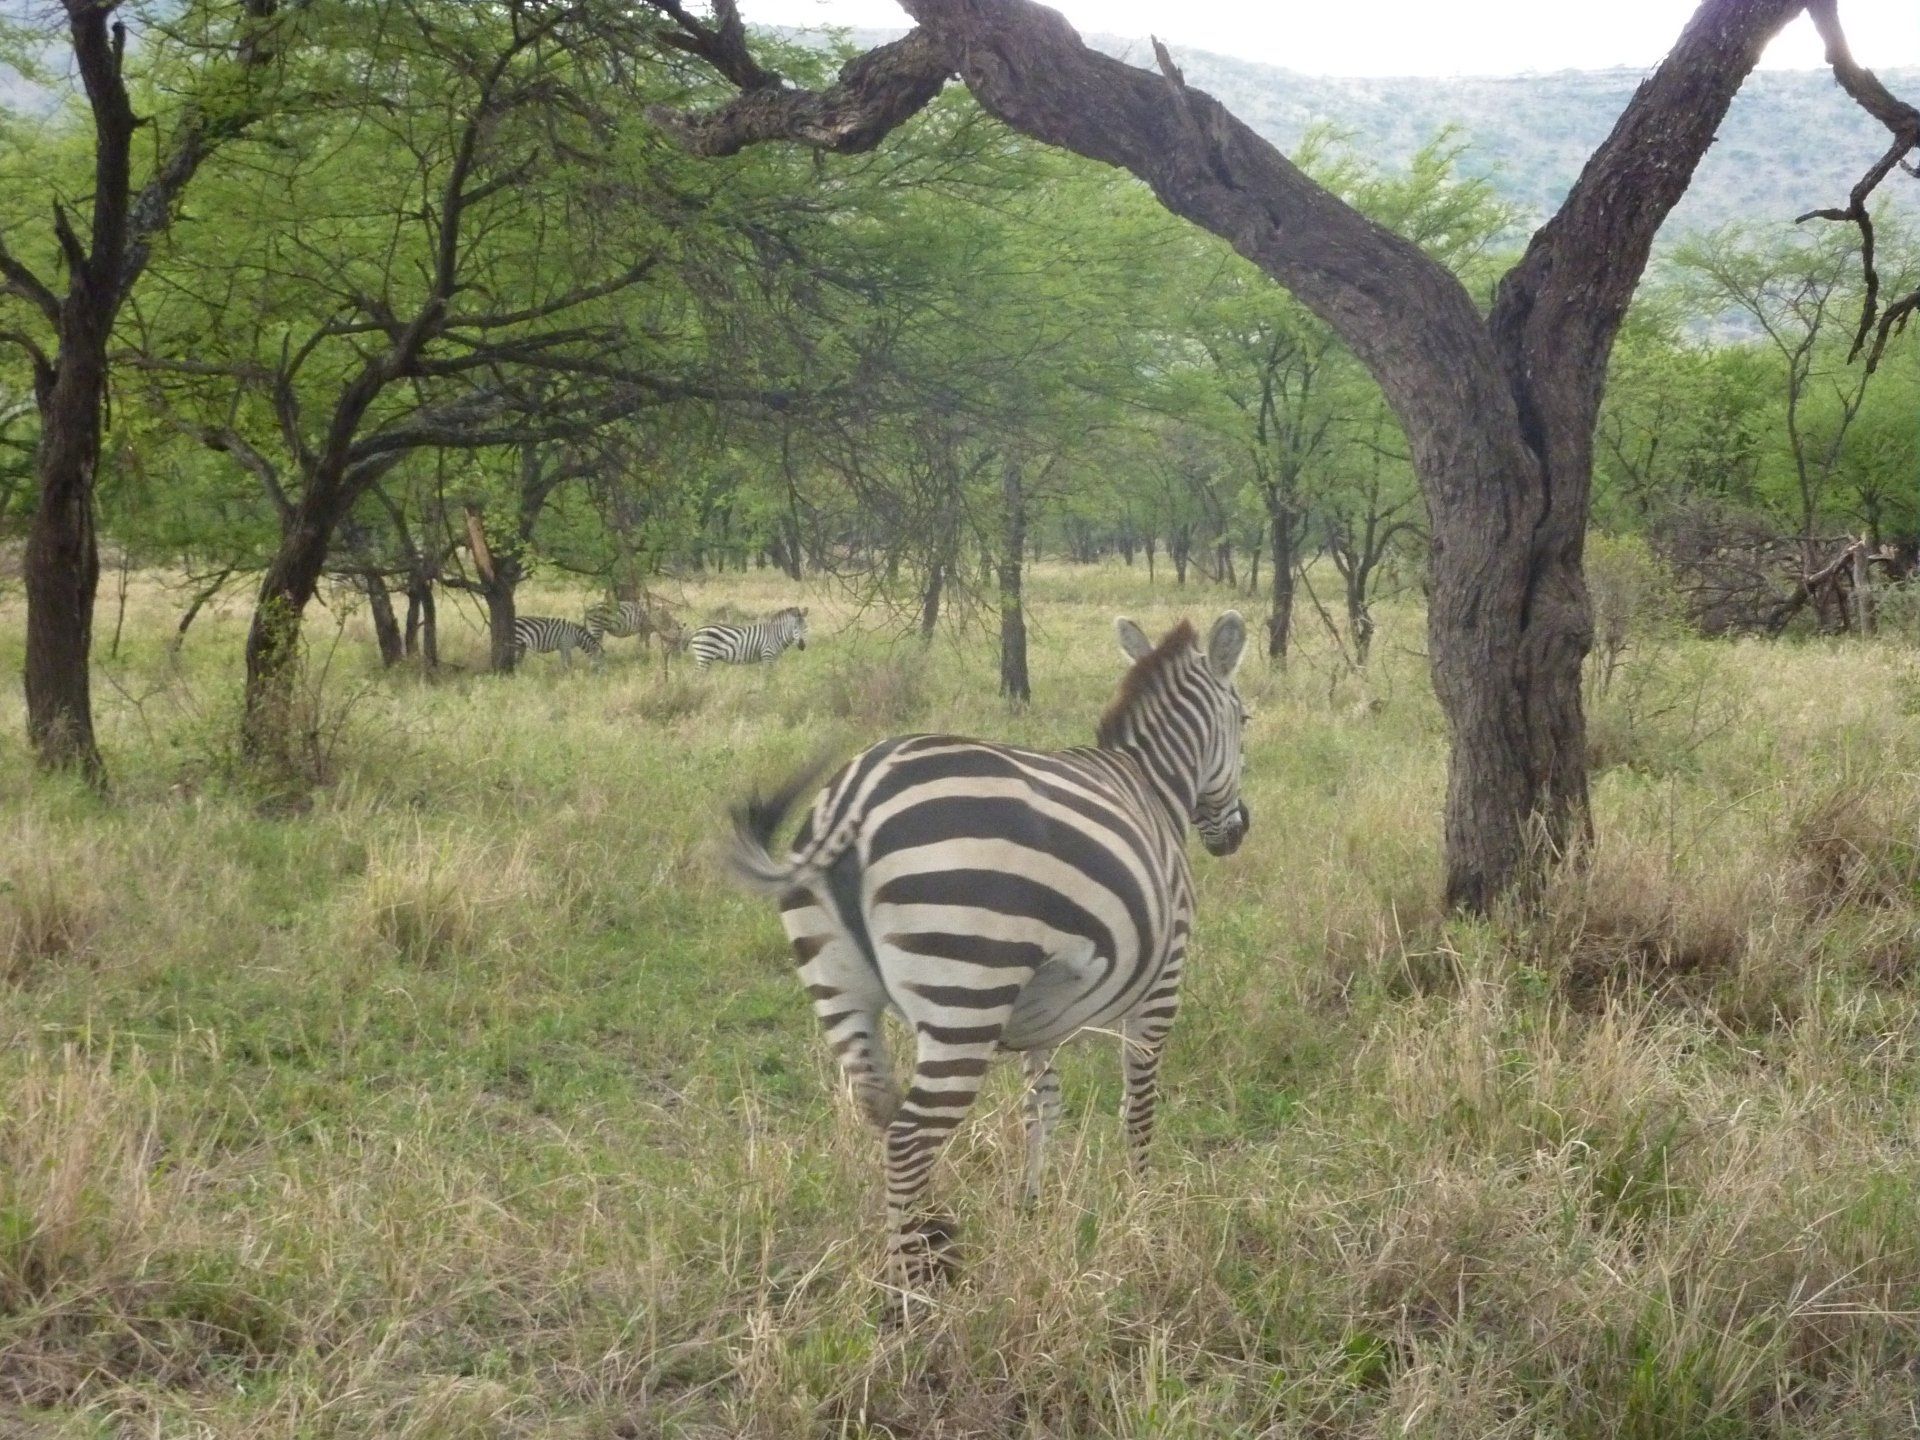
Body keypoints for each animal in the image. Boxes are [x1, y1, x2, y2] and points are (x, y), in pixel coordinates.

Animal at [725, 611, 1250, 1296]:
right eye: (1246, 720)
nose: (1237, 831)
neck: (1153, 785)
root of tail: (853, 798)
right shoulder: (1165, 981)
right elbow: (1138, 1104)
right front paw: (1144, 1204)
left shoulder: (1043, 1007)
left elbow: (1041, 1103)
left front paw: (1032, 1201)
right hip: (966, 990)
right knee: (909, 1138)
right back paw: (914, 1294)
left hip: (839, 985)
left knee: (879, 1108)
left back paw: (933, 1236)